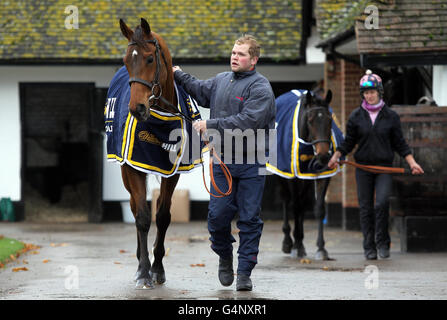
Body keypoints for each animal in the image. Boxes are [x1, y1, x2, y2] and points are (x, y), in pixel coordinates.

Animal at [276, 89, 336, 260]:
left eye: (330, 120)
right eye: (310, 121)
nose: (323, 156)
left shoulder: (323, 175)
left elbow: (319, 208)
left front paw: (321, 248)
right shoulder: (292, 177)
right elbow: (295, 206)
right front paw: (296, 246)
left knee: (302, 203)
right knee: (286, 199)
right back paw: (289, 242)